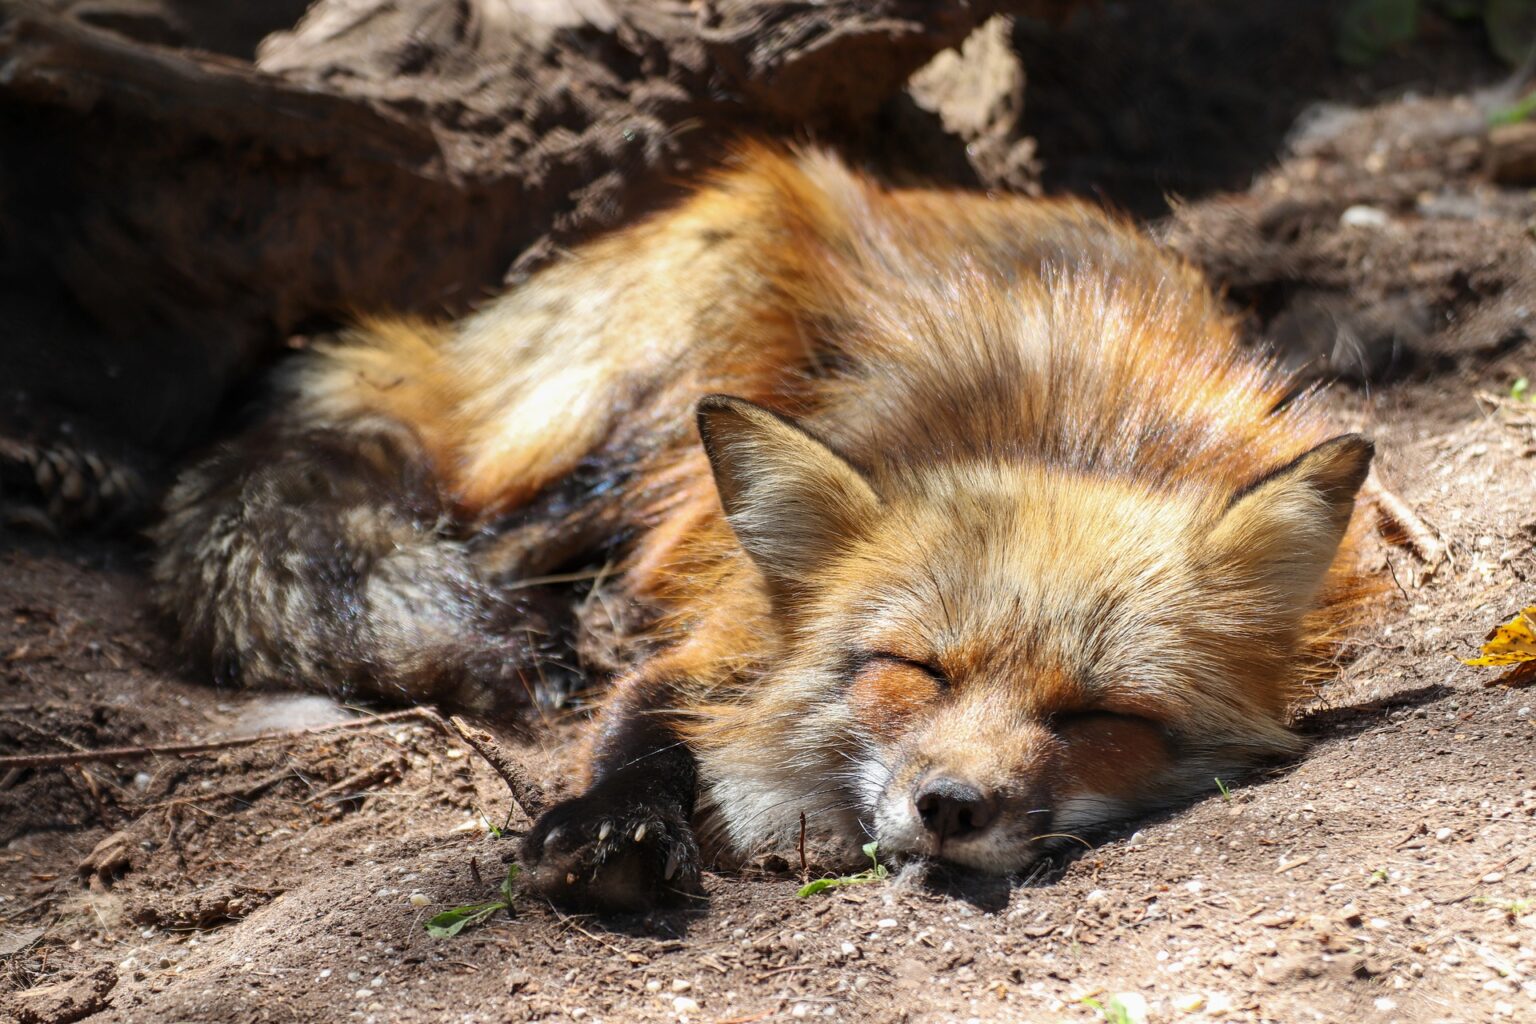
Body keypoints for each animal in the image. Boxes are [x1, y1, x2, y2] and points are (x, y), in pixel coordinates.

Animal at [155, 144, 1382, 914]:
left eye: (1096, 716)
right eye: (915, 670)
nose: (950, 806)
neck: (1068, 430)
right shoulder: (737, 615)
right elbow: (644, 717)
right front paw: (608, 830)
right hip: (640, 429)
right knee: (479, 545)